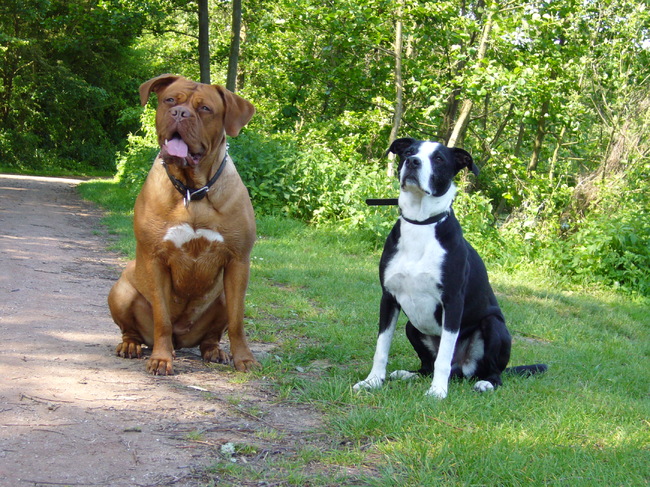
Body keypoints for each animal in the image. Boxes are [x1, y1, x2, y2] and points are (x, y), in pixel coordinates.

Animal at [108, 74, 258, 375]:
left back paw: (215, 351)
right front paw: (160, 359)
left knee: (211, 336)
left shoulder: (238, 262)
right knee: (131, 330)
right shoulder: (155, 260)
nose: (179, 113)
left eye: (205, 109)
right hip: (120, 290)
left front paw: (244, 359)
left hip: (221, 297)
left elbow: (237, 321)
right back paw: (130, 345)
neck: (192, 190)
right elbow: (162, 318)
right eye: (169, 100)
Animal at [354, 138, 546, 398]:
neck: (421, 224)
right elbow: (381, 347)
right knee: (427, 365)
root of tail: (462, 369)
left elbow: (443, 356)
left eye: (438, 158)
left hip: (493, 325)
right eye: (408, 151)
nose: (412, 162)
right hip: (411, 326)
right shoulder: (388, 298)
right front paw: (373, 381)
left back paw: (486, 382)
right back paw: (409, 374)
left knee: (489, 371)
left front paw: (437, 391)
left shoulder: (452, 302)